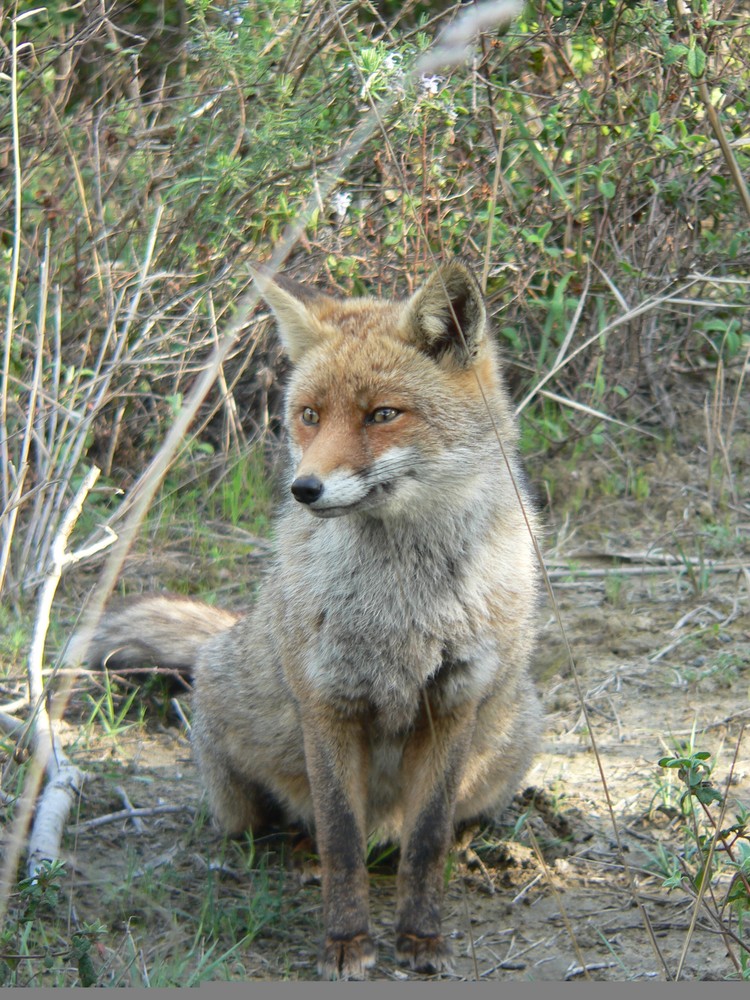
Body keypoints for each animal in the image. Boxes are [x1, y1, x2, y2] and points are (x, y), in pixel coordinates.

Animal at [76, 262, 544, 980]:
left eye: (383, 414)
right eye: (309, 416)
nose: (305, 489)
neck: (402, 607)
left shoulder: (451, 704)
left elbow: (427, 839)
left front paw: (421, 935)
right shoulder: (327, 704)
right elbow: (341, 840)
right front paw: (346, 941)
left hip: (514, 731)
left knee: (443, 824)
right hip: (235, 763)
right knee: (285, 827)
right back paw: (293, 855)